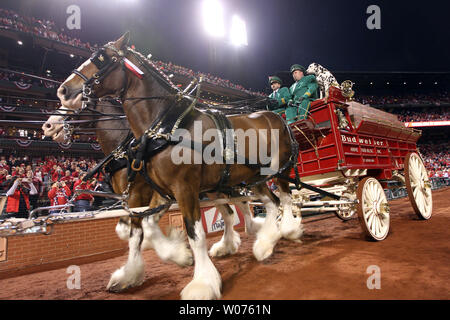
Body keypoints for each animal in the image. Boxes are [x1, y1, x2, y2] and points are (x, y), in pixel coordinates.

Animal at [43, 33, 302, 300]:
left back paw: (285, 231)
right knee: (263, 204)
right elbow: (138, 231)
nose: (63, 90)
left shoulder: (179, 188)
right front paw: (134, 272)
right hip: (247, 178)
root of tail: (276, 116)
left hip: (278, 172)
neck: (164, 128)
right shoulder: (152, 192)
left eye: (101, 57)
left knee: (283, 199)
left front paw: (201, 281)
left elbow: (193, 233)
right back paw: (260, 242)